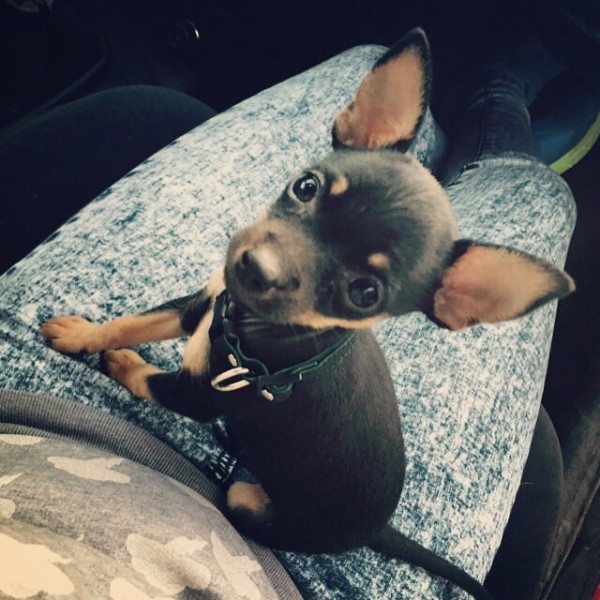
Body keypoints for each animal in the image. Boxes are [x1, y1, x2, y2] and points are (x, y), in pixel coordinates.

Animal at [42, 29, 574, 600]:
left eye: (364, 293)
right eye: (306, 187)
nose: (256, 268)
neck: (248, 329)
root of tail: (377, 529)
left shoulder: (198, 395)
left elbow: (145, 378)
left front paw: (120, 361)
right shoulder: (197, 308)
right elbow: (130, 323)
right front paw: (80, 335)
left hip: (248, 501)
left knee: (241, 495)